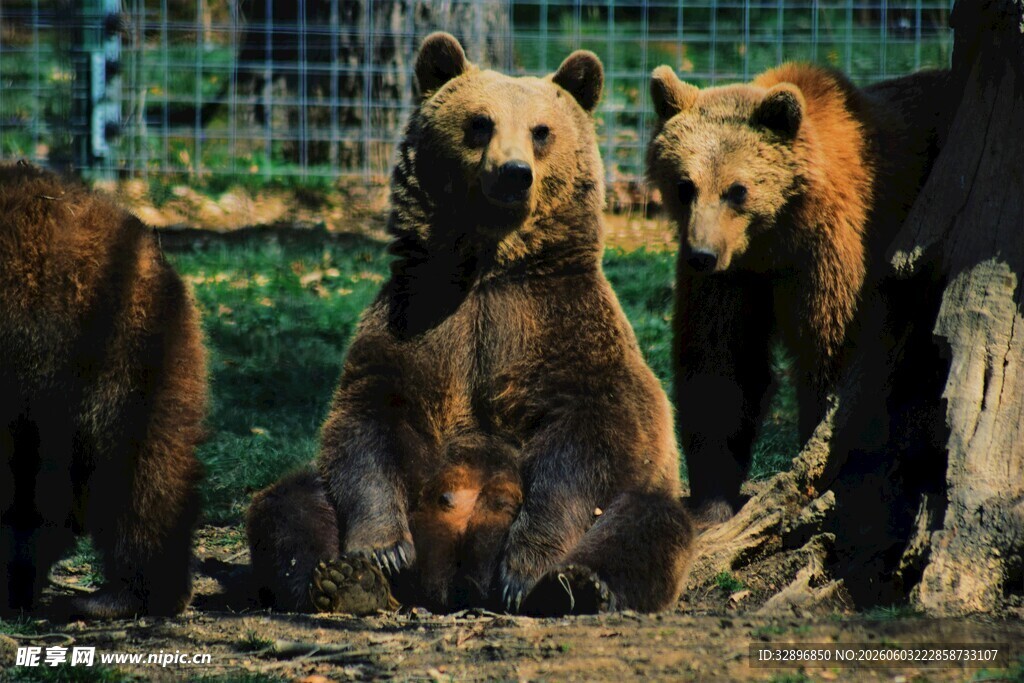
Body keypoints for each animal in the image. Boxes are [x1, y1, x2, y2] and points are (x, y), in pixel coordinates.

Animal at [246, 32, 695, 616]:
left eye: (541, 130)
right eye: (480, 122)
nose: (514, 172)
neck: (487, 266)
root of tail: (450, 587)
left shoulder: (558, 326)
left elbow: (587, 439)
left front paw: (527, 568)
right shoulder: (422, 320)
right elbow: (371, 417)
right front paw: (381, 549)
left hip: (642, 498)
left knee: (650, 523)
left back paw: (576, 586)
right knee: (290, 503)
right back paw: (345, 581)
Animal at [646, 63, 949, 520]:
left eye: (737, 189)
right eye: (685, 185)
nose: (702, 254)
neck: (773, 239)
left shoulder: (830, 253)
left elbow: (832, 355)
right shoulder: (733, 281)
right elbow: (720, 365)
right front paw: (712, 501)